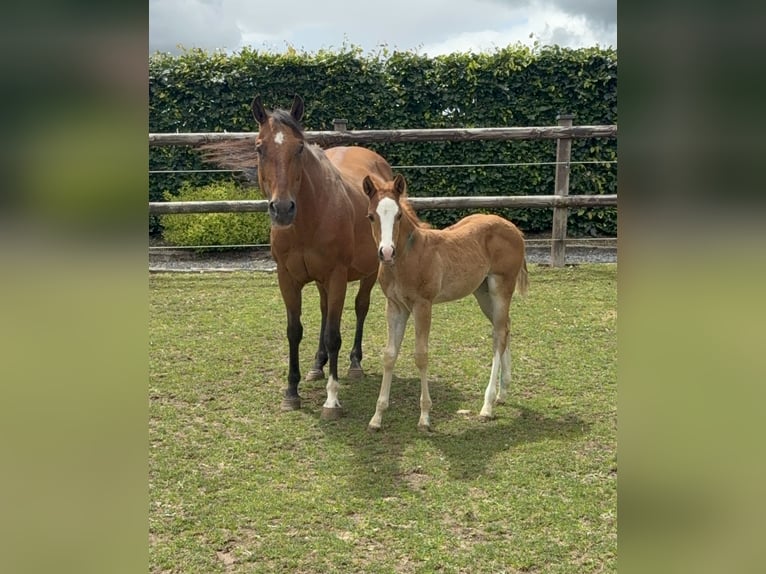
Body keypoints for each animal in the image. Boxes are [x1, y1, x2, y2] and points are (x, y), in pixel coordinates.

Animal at [251, 95, 393, 418]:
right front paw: (291, 392)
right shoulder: (287, 278)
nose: (282, 209)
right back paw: (318, 364)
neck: (308, 220)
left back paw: (354, 363)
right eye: (260, 148)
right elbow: (294, 331)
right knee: (325, 310)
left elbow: (333, 335)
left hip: (369, 272)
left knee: (360, 308)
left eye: (299, 148)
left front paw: (332, 399)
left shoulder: (337, 276)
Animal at [362, 173, 529, 431]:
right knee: (505, 327)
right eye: (371, 216)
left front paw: (424, 417)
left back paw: (487, 405)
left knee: (499, 334)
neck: (408, 257)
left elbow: (421, 355)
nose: (386, 252)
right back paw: (502, 393)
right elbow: (389, 355)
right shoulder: (395, 306)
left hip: (501, 287)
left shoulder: (423, 305)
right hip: (482, 292)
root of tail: (515, 230)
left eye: (398, 215)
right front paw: (377, 417)